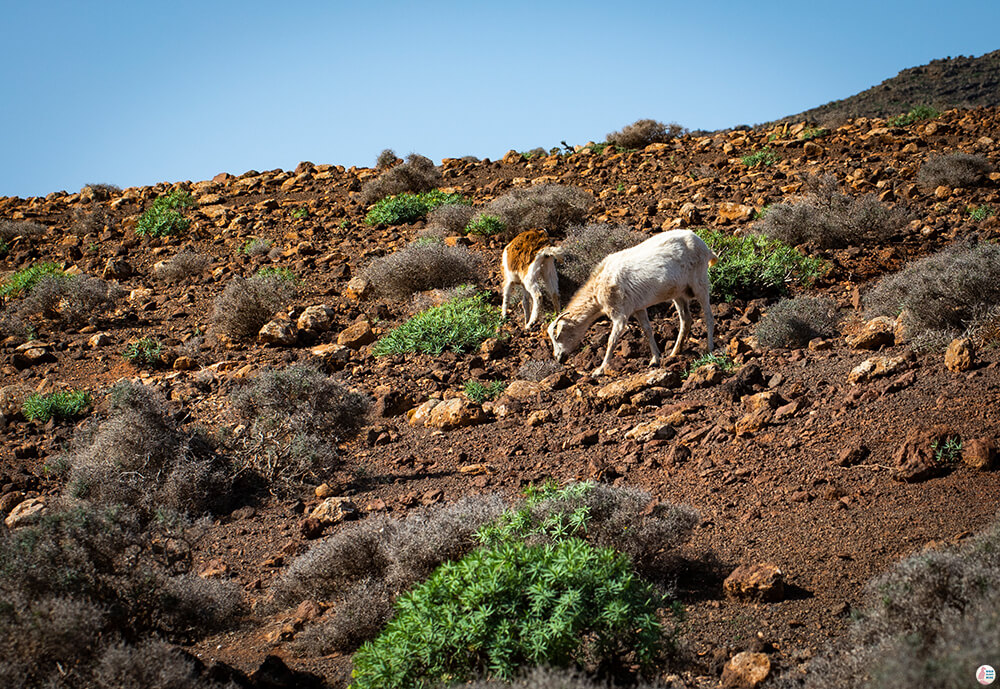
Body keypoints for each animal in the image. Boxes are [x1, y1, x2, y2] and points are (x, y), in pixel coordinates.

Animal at [548, 228, 720, 374]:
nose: (558, 358)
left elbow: (611, 340)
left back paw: (709, 347)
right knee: (686, 319)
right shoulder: (638, 308)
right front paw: (655, 359)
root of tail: (704, 246)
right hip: (679, 293)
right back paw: (674, 352)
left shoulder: (620, 315)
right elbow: (647, 330)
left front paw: (600, 370)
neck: (599, 289)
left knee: (708, 315)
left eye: (558, 336)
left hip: (700, 282)